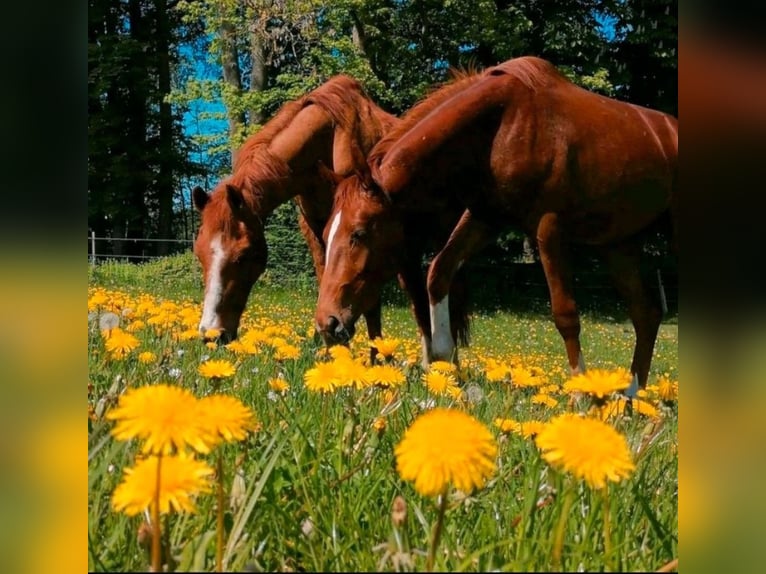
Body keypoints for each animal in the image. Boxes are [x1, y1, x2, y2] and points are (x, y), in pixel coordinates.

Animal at [314, 56, 677, 395]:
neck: (505, 124)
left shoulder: (548, 228)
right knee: (646, 314)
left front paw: (579, 396)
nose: (326, 322)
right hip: (618, 244)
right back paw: (630, 400)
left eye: (359, 233)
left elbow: (566, 315)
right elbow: (438, 273)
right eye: (326, 235)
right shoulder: (484, 217)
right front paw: (444, 366)